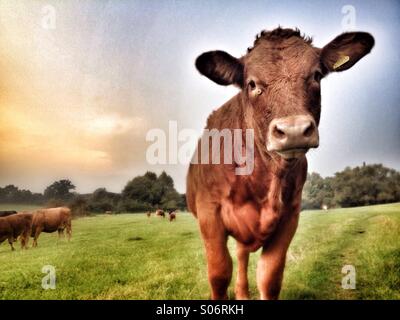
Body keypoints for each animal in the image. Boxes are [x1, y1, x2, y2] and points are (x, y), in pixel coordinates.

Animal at [186, 28, 374, 300]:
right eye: (252, 84)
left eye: (316, 75)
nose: (294, 130)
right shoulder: (209, 212)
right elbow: (219, 273)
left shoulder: (289, 216)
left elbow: (270, 277)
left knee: (242, 255)